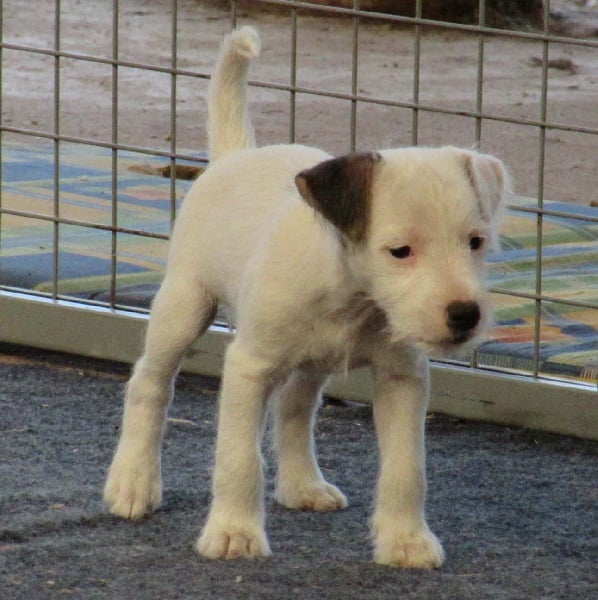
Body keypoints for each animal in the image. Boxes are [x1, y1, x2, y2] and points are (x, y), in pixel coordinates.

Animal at [105, 27, 508, 568]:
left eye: (476, 242)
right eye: (400, 251)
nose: (465, 315)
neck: (353, 295)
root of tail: (236, 155)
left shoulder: (402, 378)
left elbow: (407, 469)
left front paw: (405, 539)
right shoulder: (249, 368)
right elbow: (240, 459)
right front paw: (234, 532)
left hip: (312, 359)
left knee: (295, 405)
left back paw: (302, 485)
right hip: (184, 305)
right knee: (150, 384)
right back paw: (133, 482)